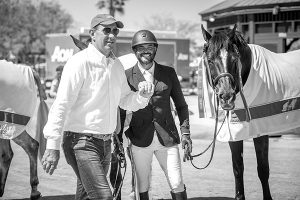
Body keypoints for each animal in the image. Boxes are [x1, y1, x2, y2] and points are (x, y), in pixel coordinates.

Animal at [199, 24, 300, 200]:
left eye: (234, 59)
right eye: (210, 60)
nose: (226, 96)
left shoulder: (261, 130)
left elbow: (263, 169)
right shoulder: (234, 133)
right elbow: (238, 169)